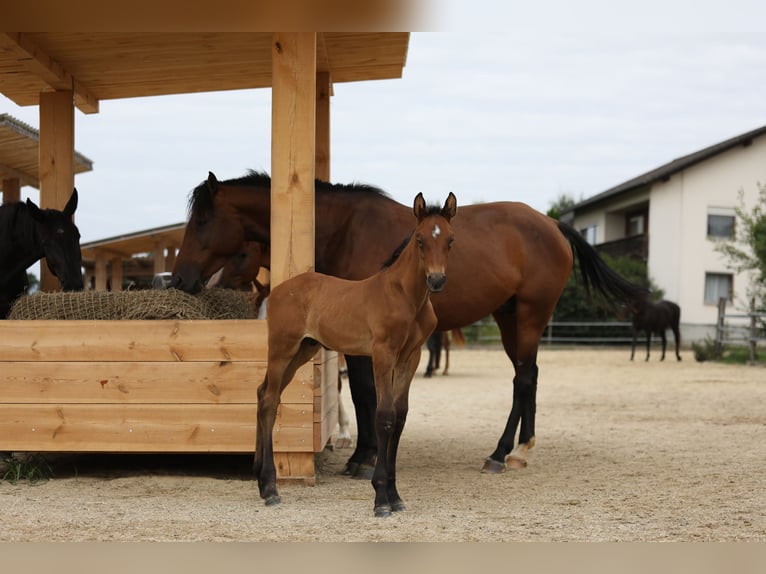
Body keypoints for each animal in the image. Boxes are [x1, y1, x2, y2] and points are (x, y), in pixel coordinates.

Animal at [171, 171, 644, 476]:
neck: (345, 230)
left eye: (203, 220)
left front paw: (364, 459)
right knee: (529, 376)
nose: (179, 280)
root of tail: (552, 223)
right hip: (510, 317)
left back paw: (501, 453)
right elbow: (363, 394)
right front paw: (365, 453)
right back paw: (521, 448)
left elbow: (365, 393)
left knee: (524, 378)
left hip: (530, 315)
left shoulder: (370, 340)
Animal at [255, 192, 456, 516]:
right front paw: (381, 498)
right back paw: (270, 488)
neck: (404, 296)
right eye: (420, 239)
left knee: (262, 393)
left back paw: (260, 481)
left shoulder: (410, 358)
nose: (436, 281)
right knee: (269, 401)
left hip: (303, 350)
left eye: (450, 239)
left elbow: (400, 416)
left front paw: (396, 497)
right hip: (282, 349)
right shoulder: (382, 353)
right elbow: (384, 415)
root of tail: (277, 291)